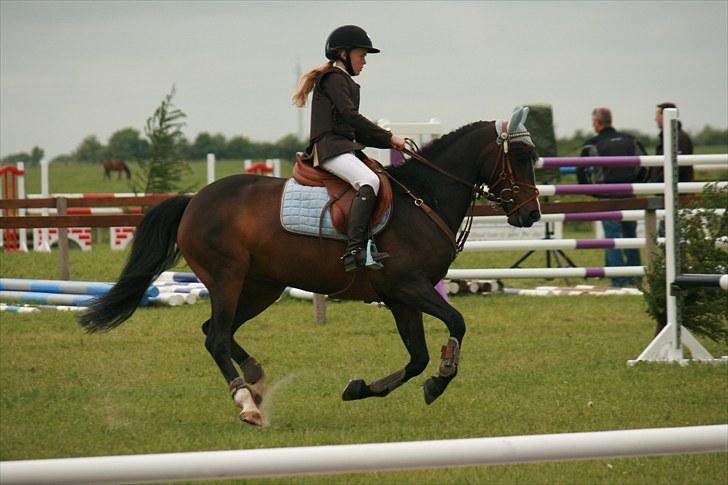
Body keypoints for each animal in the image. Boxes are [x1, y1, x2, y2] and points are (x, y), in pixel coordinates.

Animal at [79, 107, 542, 427]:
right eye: (519, 157)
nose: (532, 214)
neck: (422, 197)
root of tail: (194, 200)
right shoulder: (409, 287)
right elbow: (455, 323)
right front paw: (442, 377)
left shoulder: (400, 299)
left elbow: (417, 358)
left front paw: (361, 389)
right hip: (228, 280)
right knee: (217, 338)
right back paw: (246, 403)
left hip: (260, 287)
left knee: (216, 331)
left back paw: (254, 379)